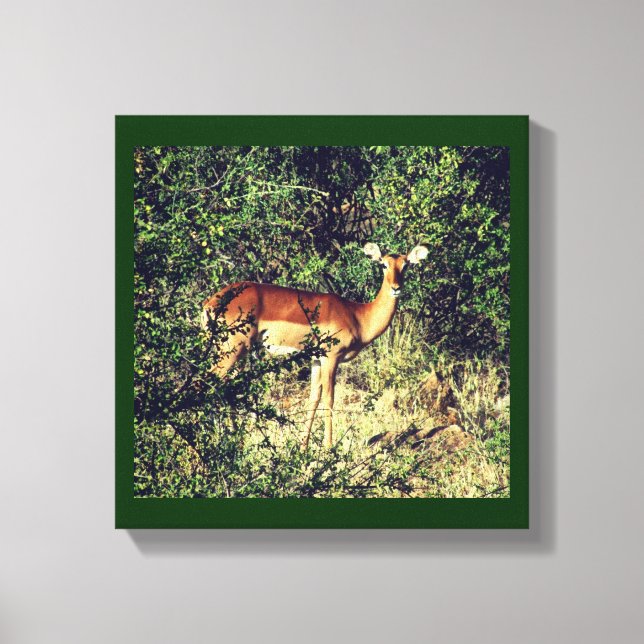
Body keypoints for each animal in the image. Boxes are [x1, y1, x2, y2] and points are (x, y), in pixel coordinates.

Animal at [202, 242, 428, 449]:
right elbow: (329, 398)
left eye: (406, 265)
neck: (357, 315)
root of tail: (210, 303)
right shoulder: (331, 357)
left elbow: (313, 397)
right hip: (232, 351)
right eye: (383, 264)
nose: (396, 288)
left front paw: (303, 447)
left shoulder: (316, 359)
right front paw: (328, 448)